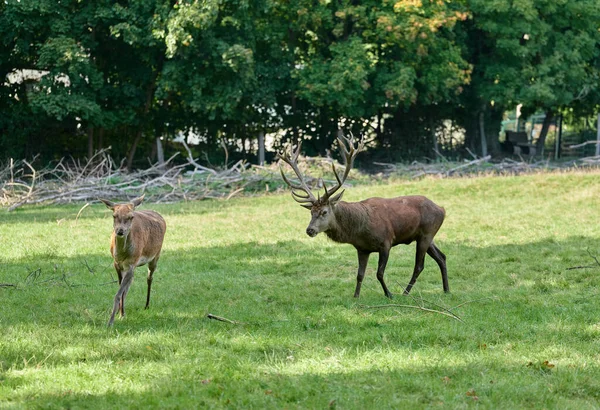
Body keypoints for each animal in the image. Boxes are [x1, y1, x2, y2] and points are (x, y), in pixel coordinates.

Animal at [99, 195, 166, 326]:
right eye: (114, 215)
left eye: (131, 217)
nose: (120, 231)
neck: (122, 254)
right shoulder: (117, 264)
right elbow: (122, 290)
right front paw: (120, 313)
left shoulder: (131, 263)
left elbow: (119, 293)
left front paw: (111, 321)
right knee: (129, 284)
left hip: (156, 255)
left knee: (149, 278)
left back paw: (147, 305)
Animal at [278, 135, 448, 298]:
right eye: (311, 212)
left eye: (324, 212)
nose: (310, 230)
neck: (359, 231)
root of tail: (442, 209)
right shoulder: (362, 249)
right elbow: (360, 274)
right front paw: (356, 296)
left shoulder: (386, 242)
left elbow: (379, 273)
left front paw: (389, 294)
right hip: (426, 236)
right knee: (442, 257)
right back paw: (446, 289)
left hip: (426, 233)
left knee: (419, 266)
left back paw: (405, 293)